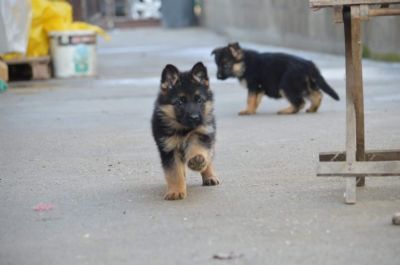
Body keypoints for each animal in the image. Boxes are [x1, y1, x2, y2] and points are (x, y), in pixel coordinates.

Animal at [152, 62, 219, 200]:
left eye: (199, 100)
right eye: (180, 102)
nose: (195, 118)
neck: (184, 130)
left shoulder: (202, 135)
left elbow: (199, 150)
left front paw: (197, 161)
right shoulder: (169, 149)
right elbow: (174, 172)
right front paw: (176, 191)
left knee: (209, 158)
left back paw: (209, 176)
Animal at [211, 42, 340, 114]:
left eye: (225, 65)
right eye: (217, 65)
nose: (218, 77)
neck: (245, 63)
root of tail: (309, 64)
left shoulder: (254, 86)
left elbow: (250, 99)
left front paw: (248, 111)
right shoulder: (259, 88)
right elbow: (255, 100)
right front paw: (252, 110)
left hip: (287, 85)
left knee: (300, 102)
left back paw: (287, 111)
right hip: (306, 84)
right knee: (317, 95)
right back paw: (312, 109)